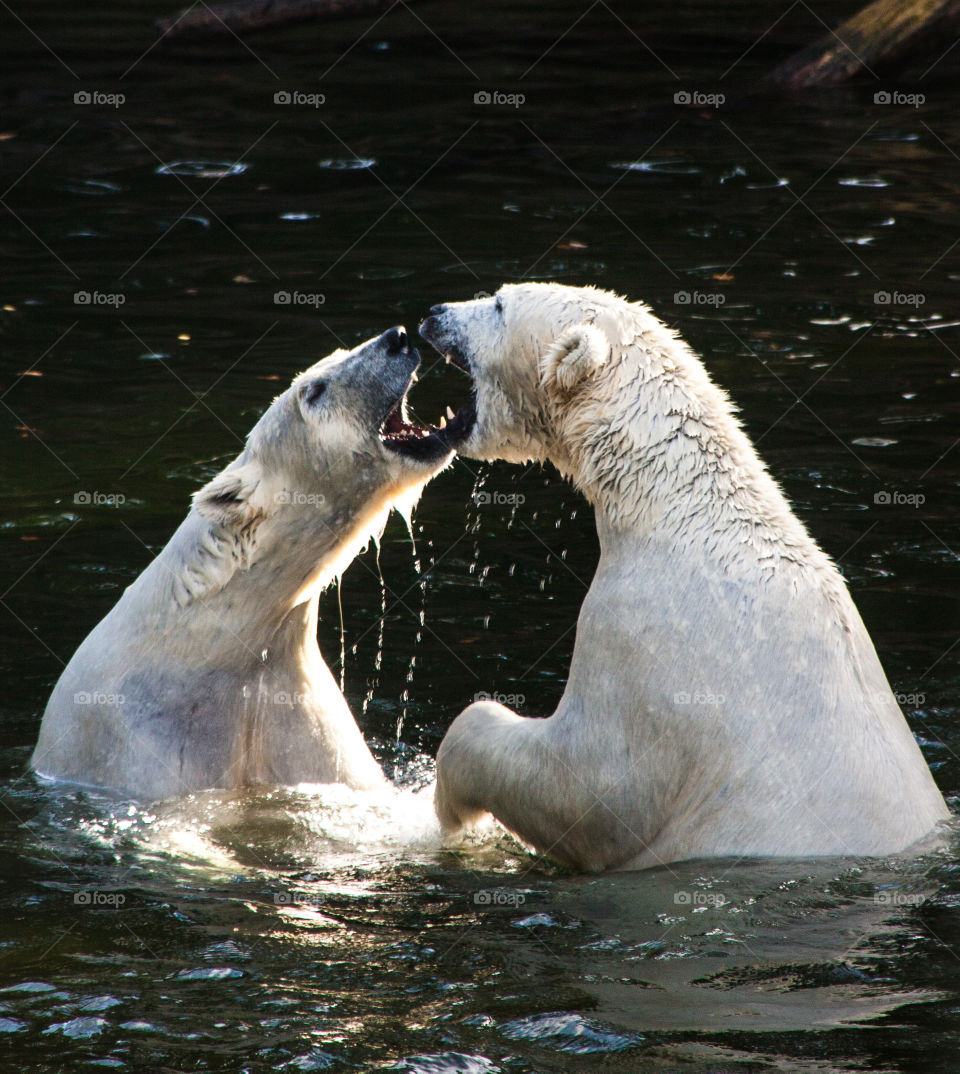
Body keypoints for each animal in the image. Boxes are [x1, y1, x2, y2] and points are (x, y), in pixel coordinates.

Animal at [35, 326, 472, 807]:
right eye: (313, 390)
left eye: (339, 352)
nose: (397, 338)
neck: (214, 646)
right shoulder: (148, 740)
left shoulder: (304, 723)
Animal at [423, 283, 953, 872]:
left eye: (499, 304)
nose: (433, 314)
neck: (676, 508)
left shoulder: (643, 638)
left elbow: (593, 791)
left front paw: (447, 808)